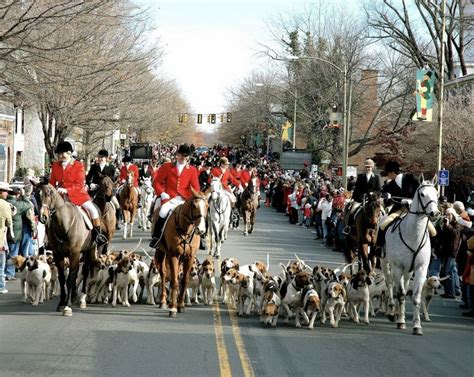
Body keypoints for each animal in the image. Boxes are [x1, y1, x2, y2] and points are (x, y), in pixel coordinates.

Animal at [37, 182, 99, 314]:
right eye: (37, 195)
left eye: (48, 194)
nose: (43, 217)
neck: (63, 224)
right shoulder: (58, 255)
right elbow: (62, 279)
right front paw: (61, 303)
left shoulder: (74, 253)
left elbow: (70, 279)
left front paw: (66, 306)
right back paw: (74, 296)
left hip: (88, 250)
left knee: (84, 271)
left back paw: (82, 298)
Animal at [155, 187, 208, 316]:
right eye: (194, 205)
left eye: (207, 206)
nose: (201, 229)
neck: (185, 229)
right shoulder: (173, 255)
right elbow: (174, 281)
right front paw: (173, 308)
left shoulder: (189, 257)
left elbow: (184, 281)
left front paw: (180, 305)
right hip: (162, 252)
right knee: (163, 274)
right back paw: (163, 301)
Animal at [382, 176, 440, 334]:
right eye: (422, 194)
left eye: (436, 194)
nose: (435, 213)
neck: (413, 235)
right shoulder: (397, 267)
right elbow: (401, 294)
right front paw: (401, 321)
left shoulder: (421, 268)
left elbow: (416, 297)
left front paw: (417, 326)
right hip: (386, 264)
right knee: (390, 285)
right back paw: (392, 312)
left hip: (408, 271)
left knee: (404, 284)